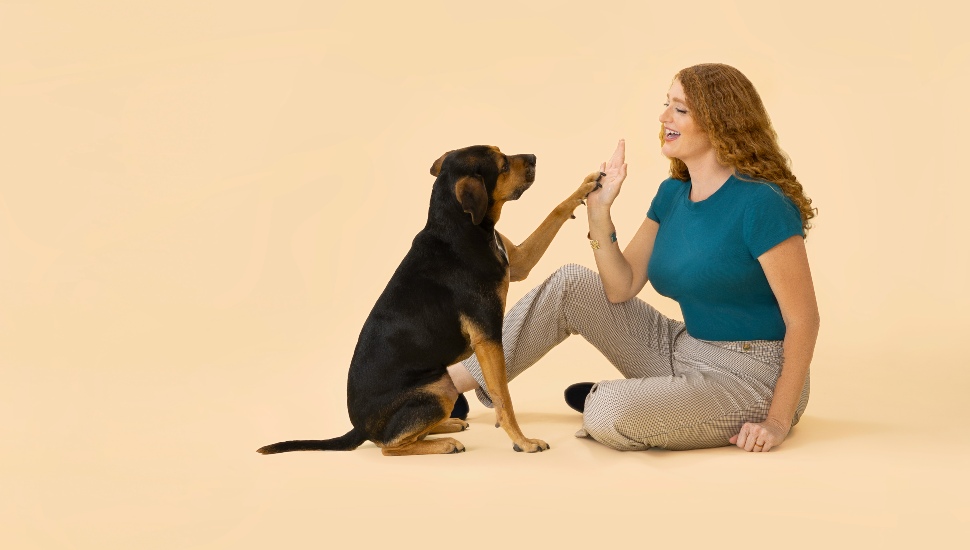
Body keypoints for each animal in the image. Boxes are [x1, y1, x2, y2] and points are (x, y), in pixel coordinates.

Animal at [260, 147, 600, 458]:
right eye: (503, 164)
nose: (533, 157)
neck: (457, 226)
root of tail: (360, 428)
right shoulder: (488, 336)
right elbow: (503, 398)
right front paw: (523, 441)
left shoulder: (518, 264)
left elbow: (555, 211)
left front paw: (586, 186)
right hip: (438, 389)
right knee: (389, 446)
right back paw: (445, 442)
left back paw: (447, 425)